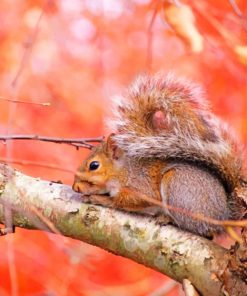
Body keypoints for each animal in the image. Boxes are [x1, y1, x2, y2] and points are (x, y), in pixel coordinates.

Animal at [72, 74, 246, 238]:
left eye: (94, 165)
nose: (75, 187)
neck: (123, 170)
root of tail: (224, 215)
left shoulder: (141, 186)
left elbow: (125, 200)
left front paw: (99, 199)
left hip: (178, 188)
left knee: (196, 226)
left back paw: (168, 218)